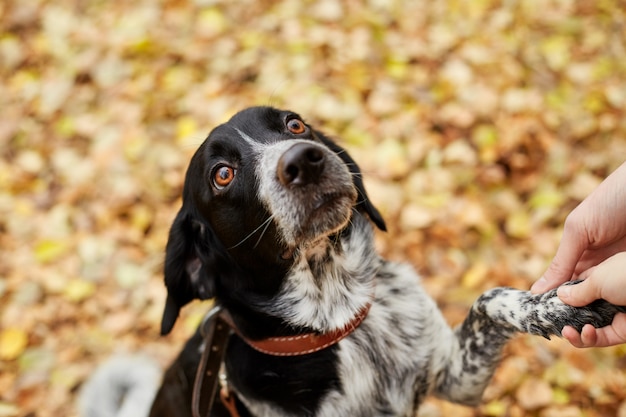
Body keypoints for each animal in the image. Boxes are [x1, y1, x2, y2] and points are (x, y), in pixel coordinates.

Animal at [80, 105, 620, 416]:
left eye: (295, 124)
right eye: (222, 174)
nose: (304, 158)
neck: (341, 316)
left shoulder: (457, 376)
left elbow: (491, 299)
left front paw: (560, 307)